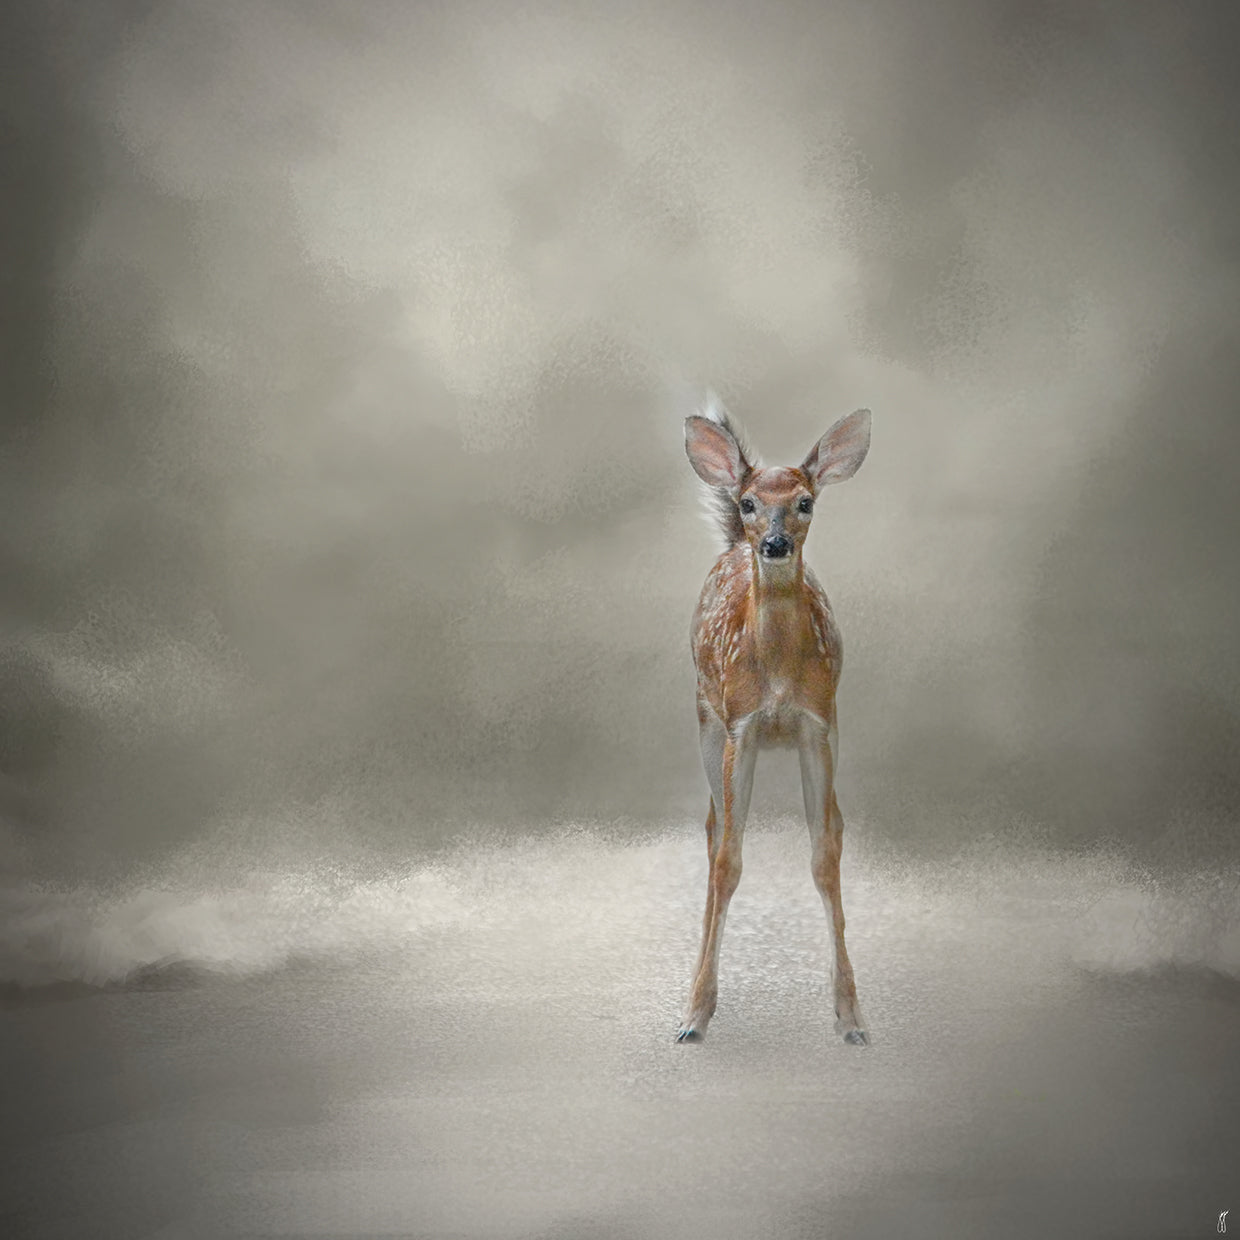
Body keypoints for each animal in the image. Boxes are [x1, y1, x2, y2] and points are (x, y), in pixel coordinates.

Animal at [677, 396, 872, 1045]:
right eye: (748, 503)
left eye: (805, 501)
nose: (776, 543)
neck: (781, 675)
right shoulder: (741, 726)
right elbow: (729, 860)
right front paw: (695, 1014)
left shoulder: (820, 724)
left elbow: (825, 856)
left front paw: (851, 1015)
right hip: (706, 720)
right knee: (713, 832)